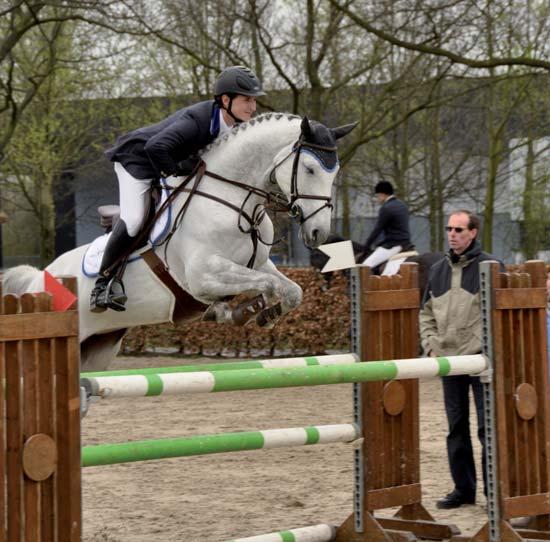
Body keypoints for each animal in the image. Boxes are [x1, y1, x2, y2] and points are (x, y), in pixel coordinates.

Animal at [2, 113, 358, 374]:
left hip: (96, 348)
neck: (232, 198)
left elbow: (292, 290)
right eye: (310, 169)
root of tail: (38, 277)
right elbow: (269, 285)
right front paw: (244, 311)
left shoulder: (256, 264)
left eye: (335, 171)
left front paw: (260, 313)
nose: (318, 233)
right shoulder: (204, 277)